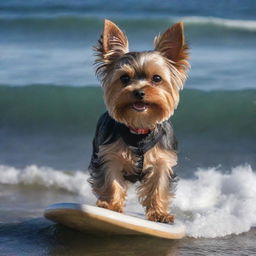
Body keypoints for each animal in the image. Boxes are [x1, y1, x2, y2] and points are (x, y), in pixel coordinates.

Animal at [89, 20, 189, 223]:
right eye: (124, 78)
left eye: (157, 78)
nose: (139, 92)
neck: (139, 127)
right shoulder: (109, 156)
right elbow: (111, 181)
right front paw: (111, 205)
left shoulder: (162, 161)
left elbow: (159, 186)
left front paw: (159, 214)